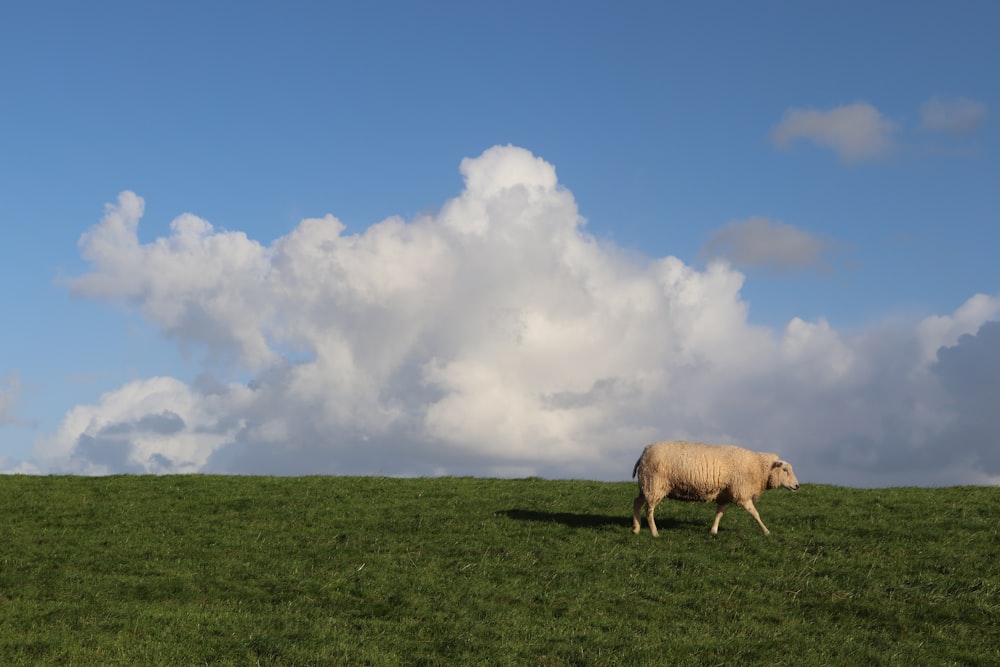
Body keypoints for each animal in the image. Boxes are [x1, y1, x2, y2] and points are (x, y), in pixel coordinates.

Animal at [632, 440, 804, 540]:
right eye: (785, 470)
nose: (797, 486)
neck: (758, 468)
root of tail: (644, 452)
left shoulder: (725, 494)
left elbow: (719, 513)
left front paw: (713, 530)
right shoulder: (741, 493)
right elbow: (755, 513)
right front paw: (766, 531)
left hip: (646, 485)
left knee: (637, 503)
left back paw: (636, 528)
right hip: (655, 484)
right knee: (649, 510)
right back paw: (654, 532)